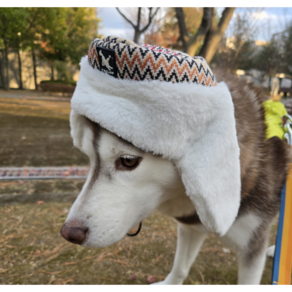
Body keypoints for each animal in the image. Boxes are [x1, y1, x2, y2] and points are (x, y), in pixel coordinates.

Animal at [60, 72, 292, 284]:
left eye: (128, 161)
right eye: (89, 157)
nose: (69, 233)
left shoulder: (252, 246)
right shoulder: (191, 227)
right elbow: (180, 266)